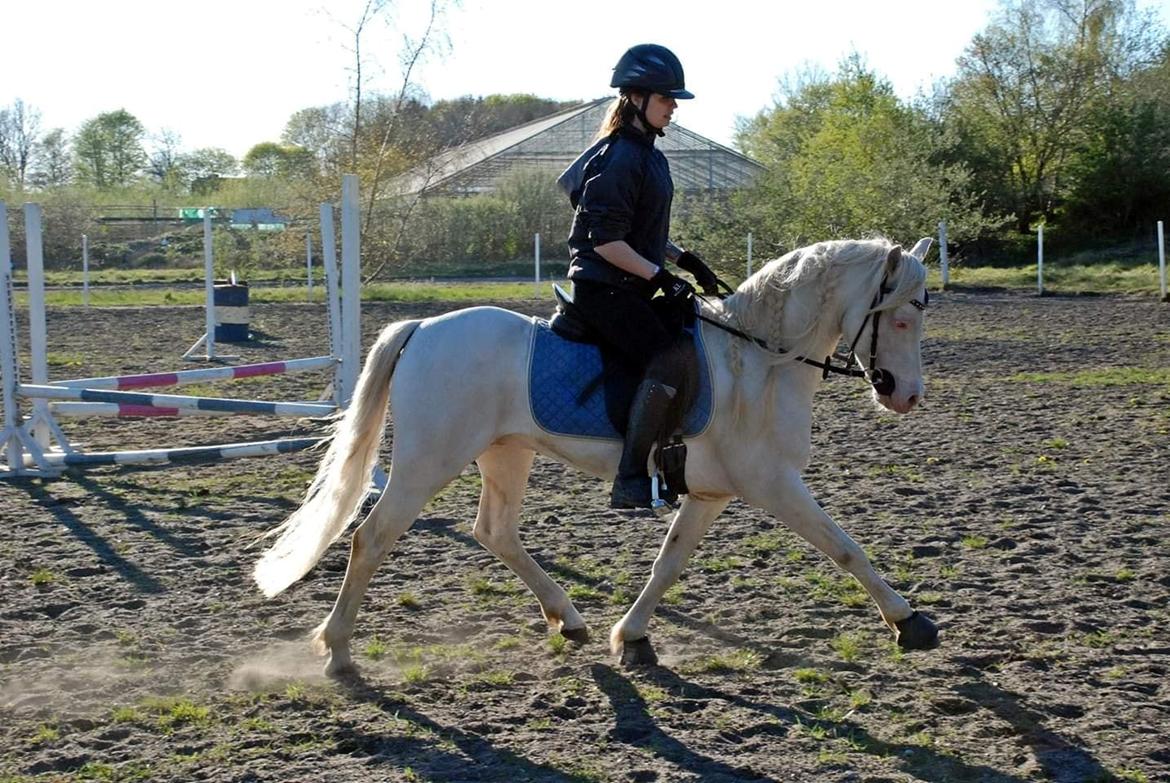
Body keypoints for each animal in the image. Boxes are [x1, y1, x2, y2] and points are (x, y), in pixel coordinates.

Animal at [251, 235, 935, 674]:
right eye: (900, 318)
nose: (905, 396)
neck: (758, 363)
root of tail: (420, 328)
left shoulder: (711, 493)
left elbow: (668, 564)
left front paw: (630, 638)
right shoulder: (773, 483)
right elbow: (844, 547)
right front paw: (908, 622)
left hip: (505, 455)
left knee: (495, 531)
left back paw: (568, 618)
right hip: (428, 462)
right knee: (372, 537)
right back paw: (338, 652)